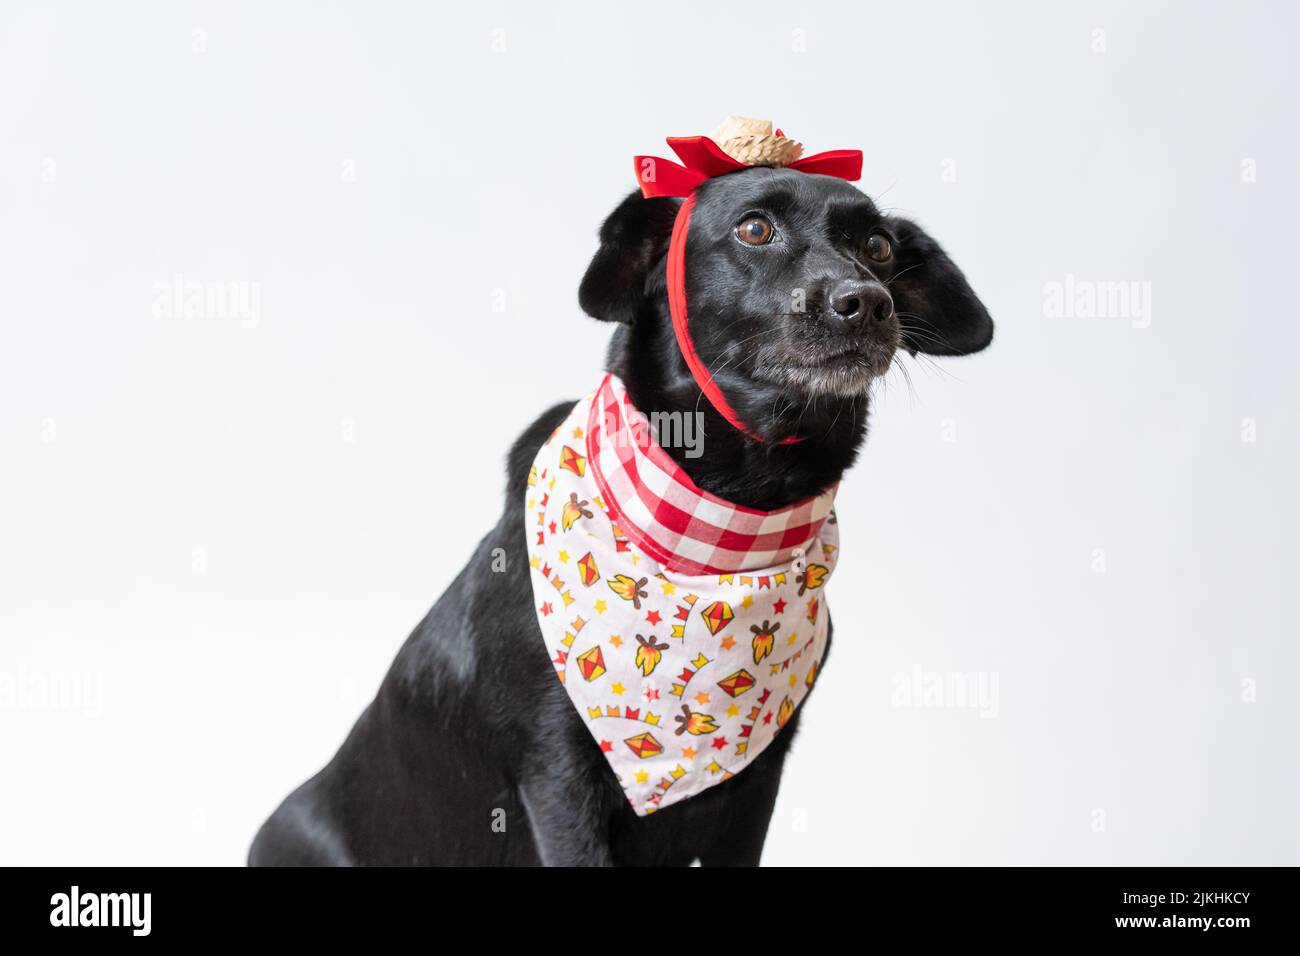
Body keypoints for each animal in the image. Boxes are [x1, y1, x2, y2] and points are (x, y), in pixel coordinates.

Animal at [248, 164, 987, 868]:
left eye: (879, 245)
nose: (866, 303)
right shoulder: (557, 774)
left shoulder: (759, 782)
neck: (726, 526)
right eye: (754, 229)